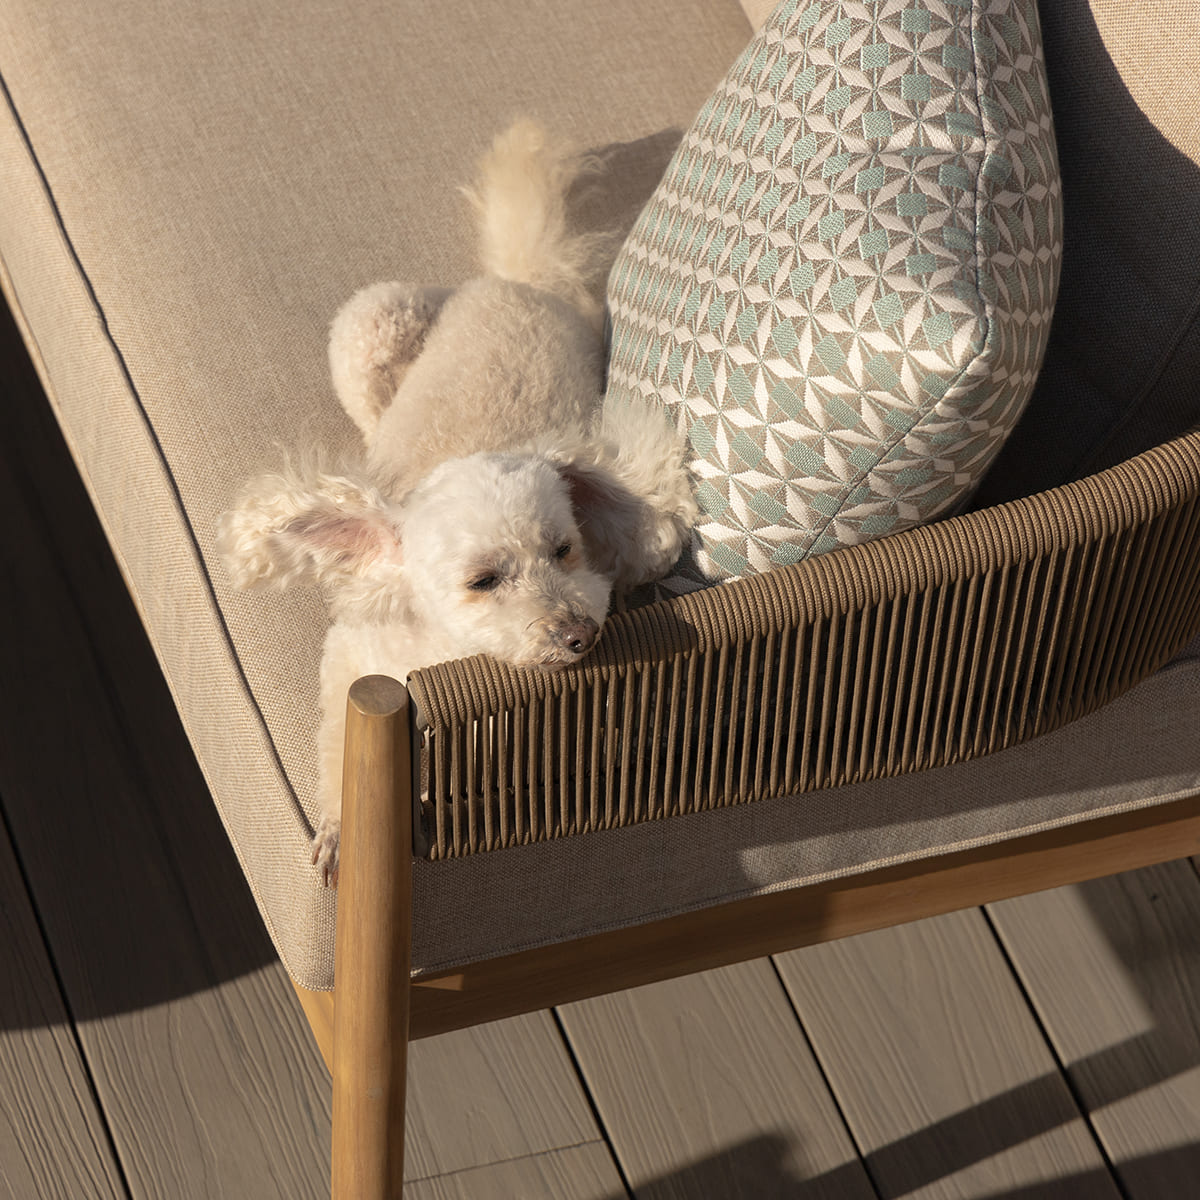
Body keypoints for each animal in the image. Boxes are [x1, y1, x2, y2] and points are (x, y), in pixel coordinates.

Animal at [220, 121, 700, 883]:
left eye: (564, 550)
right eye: (483, 581)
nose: (579, 635)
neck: (442, 651)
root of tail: (518, 281)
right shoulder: (350, 660)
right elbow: (336, 746)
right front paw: (339, 830)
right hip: (369, 325)